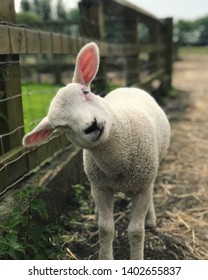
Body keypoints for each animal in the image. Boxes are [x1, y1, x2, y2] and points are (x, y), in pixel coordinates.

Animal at [22, 42, 171, 260]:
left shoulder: (143, 185)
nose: (91, 126)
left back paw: (150, 218)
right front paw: (105, 257)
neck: (118, 162)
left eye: (85, 92)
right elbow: (105, 229)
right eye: (61, 126)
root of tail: (126, 86)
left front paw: (137, 256)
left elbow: (136, 232)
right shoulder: (100, 188)